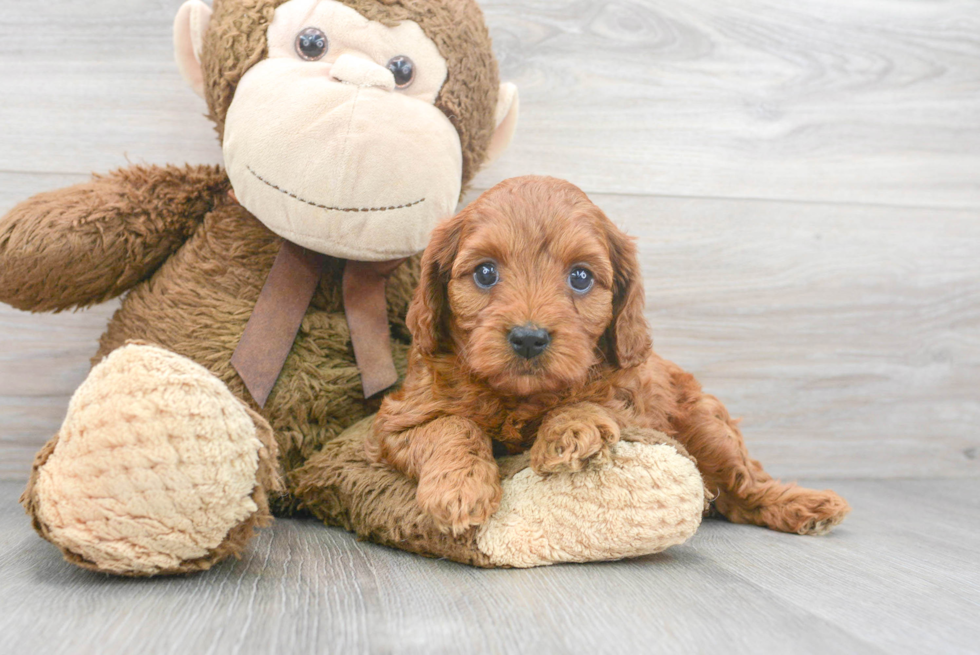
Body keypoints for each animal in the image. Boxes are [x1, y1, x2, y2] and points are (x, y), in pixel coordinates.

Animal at [368, 176, 848, 540]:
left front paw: (570, 429)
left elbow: (593, 400)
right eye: (485, 272)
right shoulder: (401, 417)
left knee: (744, 484)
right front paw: (460, 488)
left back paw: (805, 505)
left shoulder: (634, 401)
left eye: (580, 277)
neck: (519, 397)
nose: (529, 338)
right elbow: (451, 426)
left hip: (707, 423)